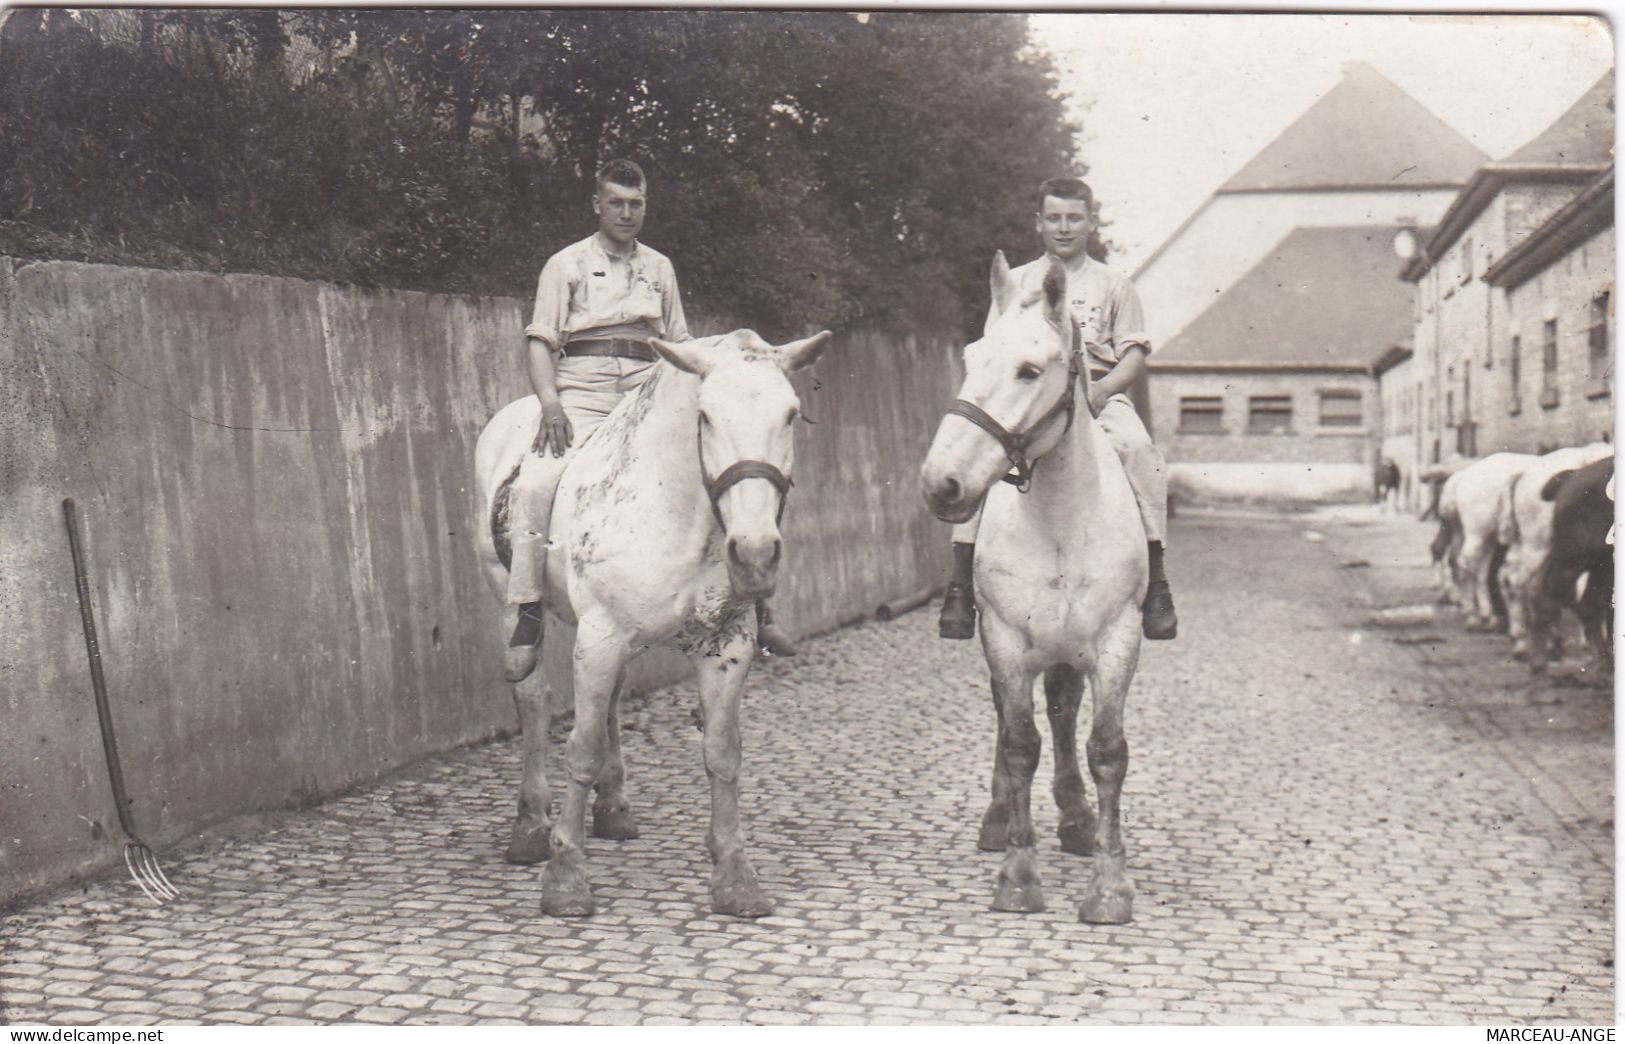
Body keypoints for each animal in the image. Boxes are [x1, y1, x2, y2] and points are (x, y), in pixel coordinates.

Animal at [471, 325, 825, 910]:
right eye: (705, 417)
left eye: (791, 415)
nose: (754, 554)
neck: (676, 509)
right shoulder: (600, 635)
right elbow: (582, 746)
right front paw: (566, 876)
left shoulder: (725, 645)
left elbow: (722, 752)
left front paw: (735, 876)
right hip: (513, 600)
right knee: (535, 701)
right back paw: (531, 828)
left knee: (611, 703)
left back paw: (614, 808)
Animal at [929, 253, 1144, 917]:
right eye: (971, 357)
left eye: (1029, 371)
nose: (940, 483)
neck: (1058, 519)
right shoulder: (1004, 639)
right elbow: (1021, 742)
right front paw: (1019, 876)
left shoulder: (1116, 640)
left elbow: (1106, 750)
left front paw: (1109, 885)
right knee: (1013, 720)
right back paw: (1001, 819)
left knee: (1064, 713)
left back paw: (1075, 818)